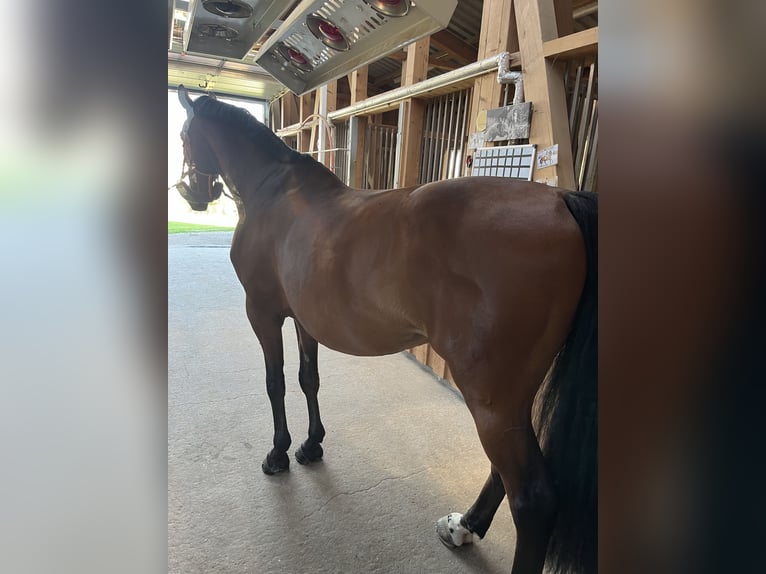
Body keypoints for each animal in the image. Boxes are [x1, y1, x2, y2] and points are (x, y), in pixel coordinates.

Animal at [174, 85, 600, 574]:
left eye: (184, 136)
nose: (194, 194)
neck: (275, 192)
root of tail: (561, 201)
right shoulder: (303, 319)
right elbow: (307, 379)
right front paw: (311, 446)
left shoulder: (262, 314)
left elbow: (275, 383)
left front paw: (278, 454)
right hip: (510, 399)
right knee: (505, 472)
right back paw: (464, 526)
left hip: (491, 399)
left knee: (532, 498)